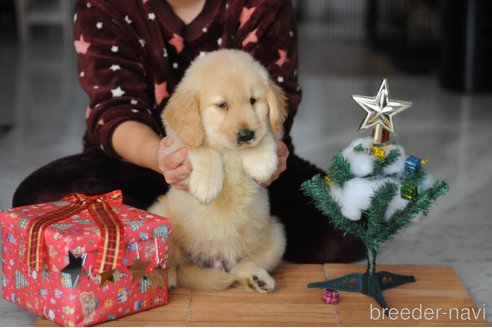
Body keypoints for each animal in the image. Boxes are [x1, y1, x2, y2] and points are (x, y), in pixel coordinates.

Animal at [150, 49, 288, 292]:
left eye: (253, 101)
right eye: (222, 105)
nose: (246, 135)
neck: (229, 151)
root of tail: (214, 260)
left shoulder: (270, 133)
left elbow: (267, 134)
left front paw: (261, 161)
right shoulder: (179, 144)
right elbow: (203, 150)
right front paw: (206, 185)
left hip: (276, 236)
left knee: (239, 267)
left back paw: (256, 278)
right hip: (161, 216)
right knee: (176, 265)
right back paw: (167, 279)